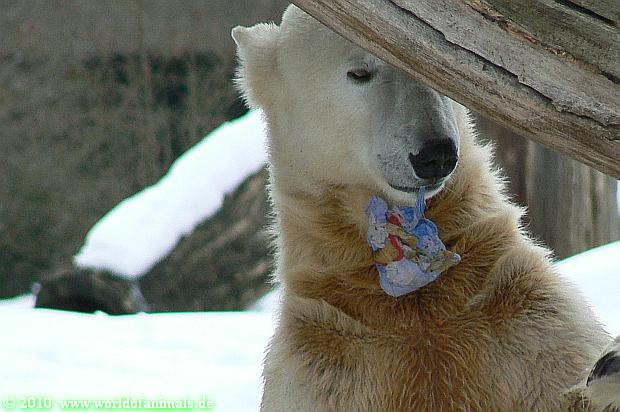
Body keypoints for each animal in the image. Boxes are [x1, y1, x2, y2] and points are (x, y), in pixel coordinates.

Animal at [232, 4, 620, 411]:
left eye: (439, 75)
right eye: (360, 72)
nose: (436, 155)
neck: (411, 298)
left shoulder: (523, 309)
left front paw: (610, 365)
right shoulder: (326, 357)